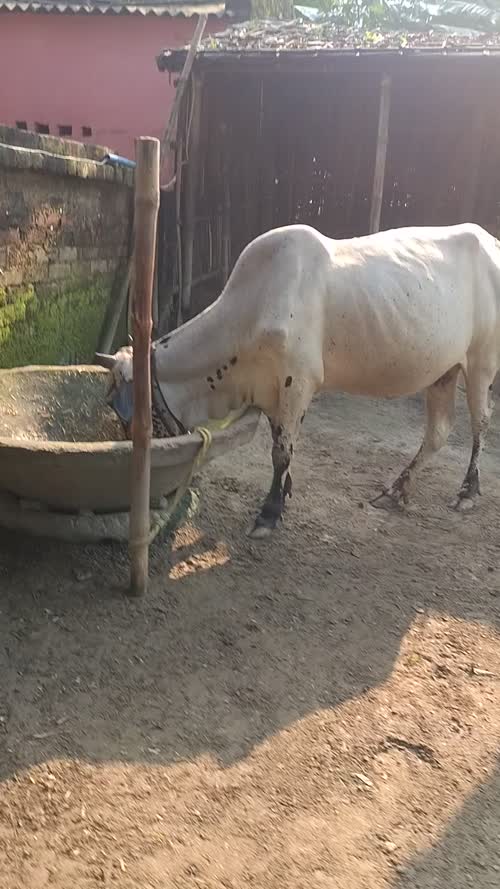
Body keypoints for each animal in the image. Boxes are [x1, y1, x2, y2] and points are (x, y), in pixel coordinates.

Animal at [96, 222, 500, 538]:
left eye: (126, 410)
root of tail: (490, 240)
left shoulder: (298, 383)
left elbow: (281, 451)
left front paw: (269, 512)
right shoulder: (273, 392)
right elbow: (281, 444)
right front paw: (285, 493)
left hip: (481, 362)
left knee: (479, 423)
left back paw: (467, 492)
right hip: (443, 371)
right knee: (438, 433)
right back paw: (397, 489)